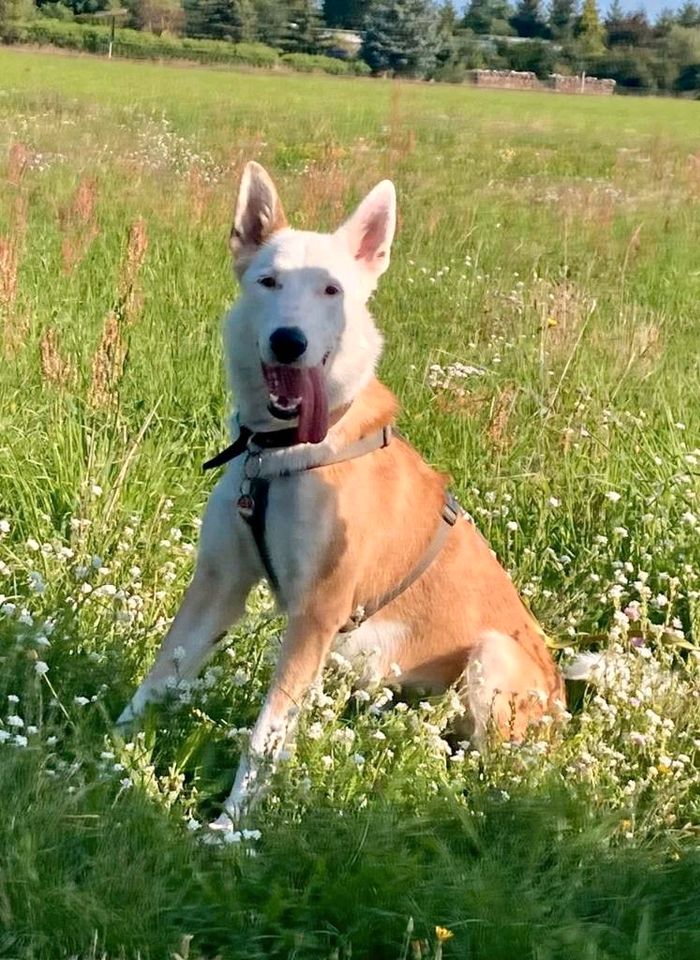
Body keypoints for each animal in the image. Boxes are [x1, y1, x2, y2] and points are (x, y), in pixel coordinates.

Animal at [119, 163, 564, 824]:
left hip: (491, 658)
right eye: (268, 281)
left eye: (331, 291)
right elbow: (158, 677)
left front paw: (229, 827)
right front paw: (96, 751)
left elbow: (266, 738)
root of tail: (564, 701)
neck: (279, 454)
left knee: (497, 770)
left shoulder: (318, 612)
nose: (288, 341)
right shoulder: (219, 584)